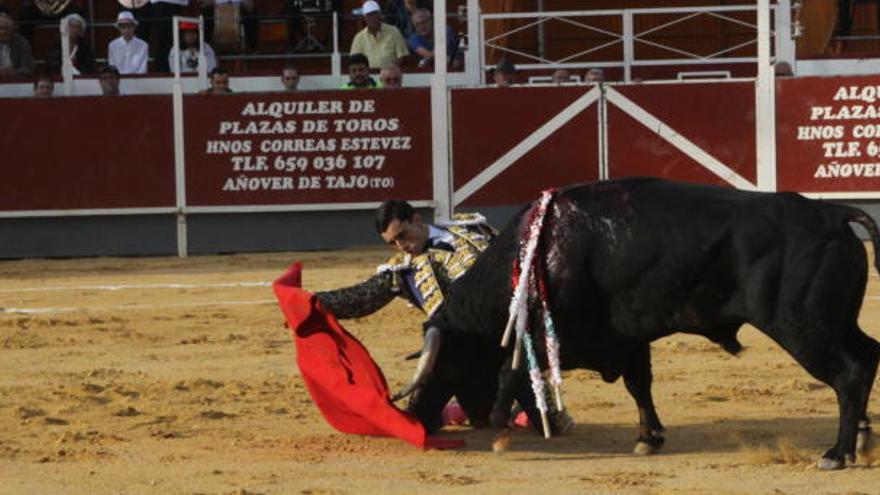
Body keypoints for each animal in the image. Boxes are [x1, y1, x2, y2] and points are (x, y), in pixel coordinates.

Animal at [402, 177, 876, 468]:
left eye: (446, 364)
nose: (417, 417)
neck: (539, 250)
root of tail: (833, 214)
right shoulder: (629, 336)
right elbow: (639, 384)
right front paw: (649, 437)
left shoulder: (555, 335)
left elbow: (511, 374)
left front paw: (508, 430)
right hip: (834, 323)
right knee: (868, 356)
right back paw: (862, 439)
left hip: (802, 325)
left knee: (848, 373)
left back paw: (836, 453)